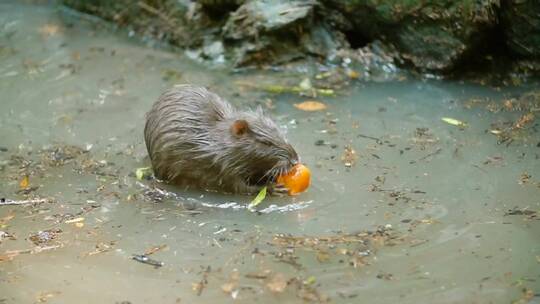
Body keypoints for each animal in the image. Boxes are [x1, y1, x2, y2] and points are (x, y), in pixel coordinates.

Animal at [143, 84, 300, 196]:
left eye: (281, 134)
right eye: (266, 143)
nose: (295, 161)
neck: (218, 143)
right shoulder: (221, 166)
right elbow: (238, 187)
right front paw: (274, 188)